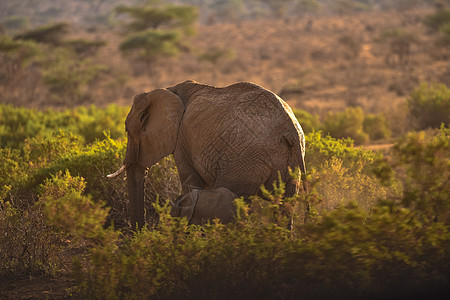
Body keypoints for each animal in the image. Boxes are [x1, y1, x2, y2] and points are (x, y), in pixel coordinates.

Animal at [107, 79, 308, 227]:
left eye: (126, 130)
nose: (139, 233)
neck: (167, 90)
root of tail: (290, 129)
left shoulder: (181, 141)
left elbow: (191, 184)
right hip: (290, 162)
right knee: (285, 206)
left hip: (246, 161)